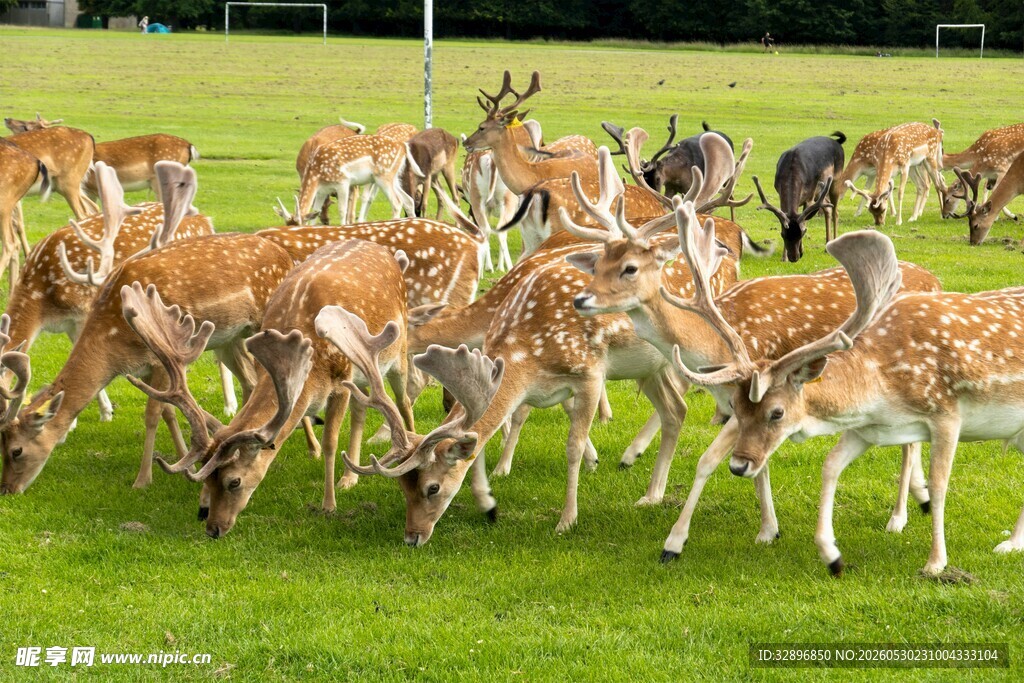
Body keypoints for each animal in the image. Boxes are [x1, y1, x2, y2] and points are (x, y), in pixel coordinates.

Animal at [125, 239, 436, 537]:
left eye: (234, 481)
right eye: (208, 476)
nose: (212, 527)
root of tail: (387, 253)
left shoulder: (341, 380)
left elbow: (330, 443)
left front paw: (328, 505)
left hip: (396, 352)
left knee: (404, 401)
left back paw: (412, 455)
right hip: (364, 374)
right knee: (361, 410)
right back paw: (350, 478)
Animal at [276, 134, 416, 225]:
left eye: (298, 225)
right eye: (286, 225)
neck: (316, 175)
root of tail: (403, 146)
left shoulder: (342, 182)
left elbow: (342, 210)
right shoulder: (322, 191)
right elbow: (316, 211)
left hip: (383, 175)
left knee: (397, 202)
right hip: (393, 177)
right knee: (408, 200)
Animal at [667, 218, 1024, 577]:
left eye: (776, 412)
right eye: (736, 407)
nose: (739, 465)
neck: (883, 394)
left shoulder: (946, 413)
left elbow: (938, 486)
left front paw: (935, 562)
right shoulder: (868, 430)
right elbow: (830, 465)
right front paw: (831, 554)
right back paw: (1011, 543)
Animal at [752, 132, 845, 262]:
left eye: (803, 233)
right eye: (783, 235)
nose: (794, 258)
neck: (793, 169)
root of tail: (838, 142)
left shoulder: (809, 196)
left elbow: (805, 221)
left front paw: (801, 251)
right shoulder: (780, 194)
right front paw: (784, 257)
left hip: (836, 180)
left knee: (835, 210)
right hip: (820, 193)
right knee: (828, 207)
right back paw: (827, 245)